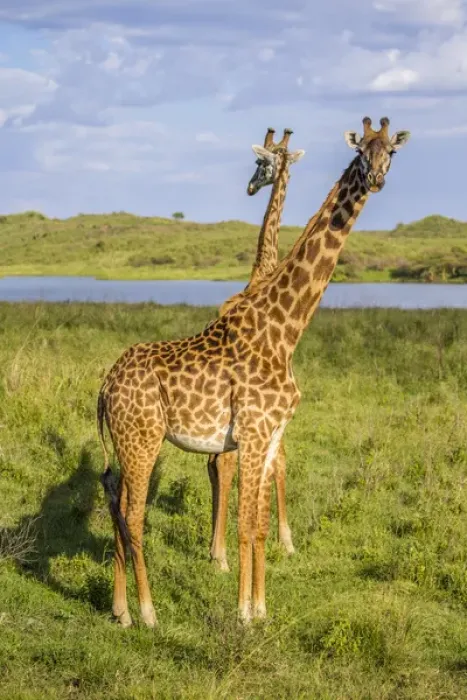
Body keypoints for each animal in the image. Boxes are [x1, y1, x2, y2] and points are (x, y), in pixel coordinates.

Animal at [97, 116, 410, 627]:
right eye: (361, 149)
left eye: (392, 152)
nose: (376, 178)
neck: (285, 331)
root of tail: (104, 387)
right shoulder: (254, 432)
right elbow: (245, 524)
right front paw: (243, 612)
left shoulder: (270, 435)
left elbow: (259, 524)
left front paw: (261, 607)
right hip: (142, 441)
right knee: (136, 517)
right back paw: (148, 613)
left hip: (129, 444)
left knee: (117, 506)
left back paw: (121, 610)